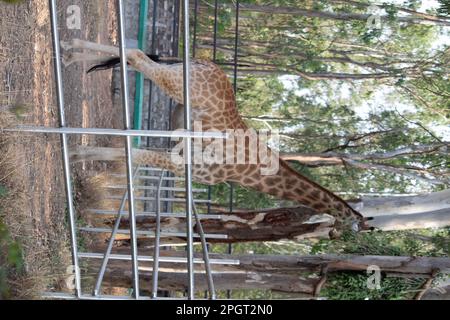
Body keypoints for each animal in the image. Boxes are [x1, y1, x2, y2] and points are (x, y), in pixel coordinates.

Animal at [63, 39, 370, 232]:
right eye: (346, 230)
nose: (330, 233)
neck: (249, 171)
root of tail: (204, 62)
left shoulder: (180, 155)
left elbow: (130, 149)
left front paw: (78, 153)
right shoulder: (188, 165)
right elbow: (133, 152)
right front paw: (74, 154)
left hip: (176, 79)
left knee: (132, 54)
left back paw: (71, 52)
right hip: (175, 83)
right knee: (137, 55)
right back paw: (72, 52)